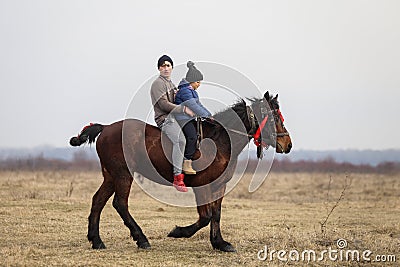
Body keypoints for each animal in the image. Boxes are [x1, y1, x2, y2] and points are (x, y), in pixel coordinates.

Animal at [70, 91, 292, 253]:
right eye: (275, 117)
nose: (288, 144)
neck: (220, 141)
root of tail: (106, 128)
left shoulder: (219, 185)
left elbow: (216, 214)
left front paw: (220, 243)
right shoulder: (202, 186)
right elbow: (206, 216)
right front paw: (178, 232)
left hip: (111, 176)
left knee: (98, 201)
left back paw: (97, 241)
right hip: (124, 175)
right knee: (120, 203)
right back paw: (141, 239)